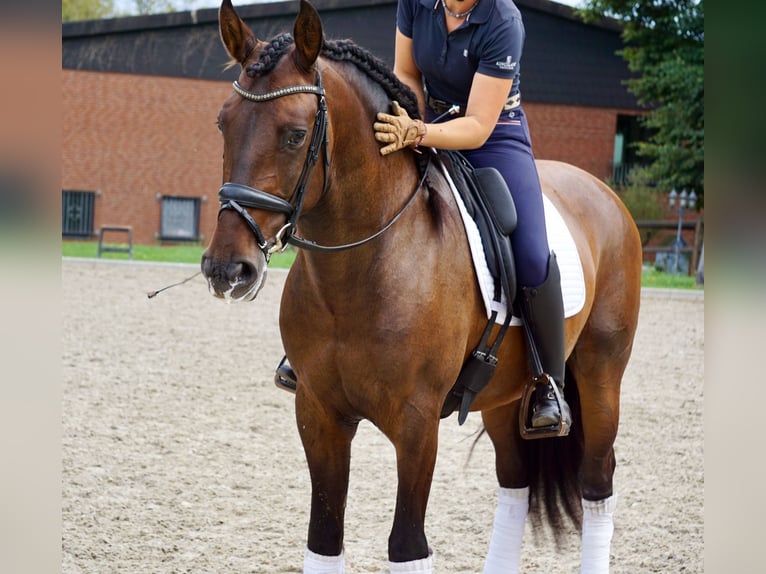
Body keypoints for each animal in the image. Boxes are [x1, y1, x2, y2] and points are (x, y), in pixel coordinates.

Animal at [201, 1, 642, 572]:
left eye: (295, 135)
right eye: (223, 124)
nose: (226, 269)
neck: (362, 269)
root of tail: (602, 192)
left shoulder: (416, 425)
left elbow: (407, 546)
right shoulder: (318, 414)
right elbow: (324, 538)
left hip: (600, 374)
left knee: (596, 483)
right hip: (504, 396)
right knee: (515, 484)